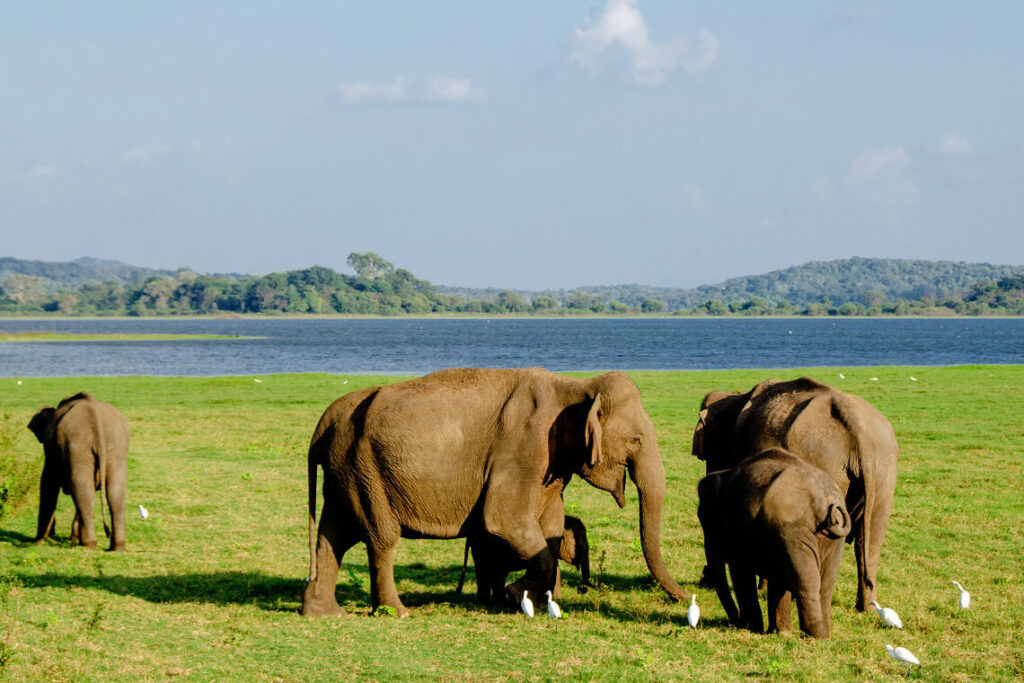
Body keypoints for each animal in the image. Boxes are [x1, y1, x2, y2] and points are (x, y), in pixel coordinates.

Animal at [25, 393, 129, 552]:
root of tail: (96, 417)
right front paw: (71, 539)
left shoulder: (51, 454)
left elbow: (48, 482)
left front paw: (39, 541)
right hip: (117, 447)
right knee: (112, 492)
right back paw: (116, 547)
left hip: (77, 445)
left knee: (82, 489)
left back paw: (89, 545)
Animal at [692, 376, 901, 610]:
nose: (704, 579)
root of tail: (856, 424)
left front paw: (764, 587)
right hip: (884, 469)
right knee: (870, 538)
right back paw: (866, 607)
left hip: (828, 463)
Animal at [696, 448, 856, 643]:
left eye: (704, 520)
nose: (735, 622)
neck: (724, 474)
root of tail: (824, 500)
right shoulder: (775, 538)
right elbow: (777, 578)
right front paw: (779, 632)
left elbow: (740, 572)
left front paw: (753, 628)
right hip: (830, 539)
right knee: (824, 585)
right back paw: (823, 636)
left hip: (795, 530)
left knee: (806, 581)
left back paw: (812, 636)